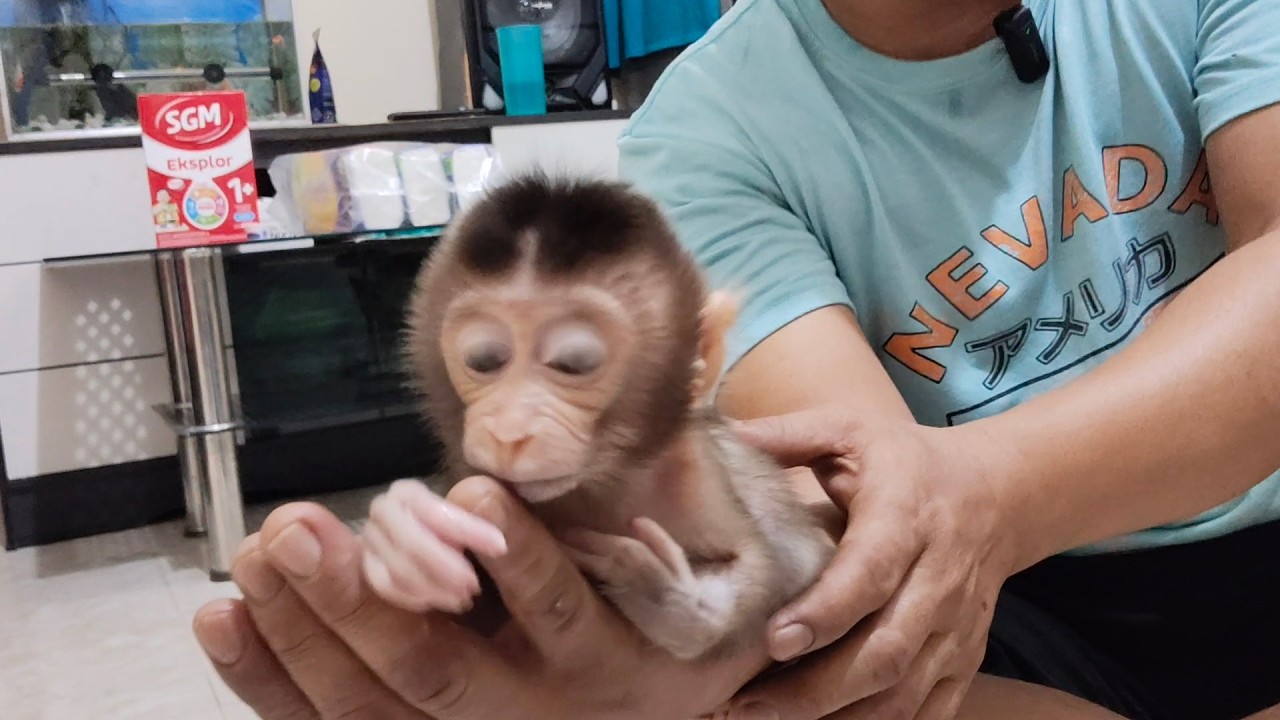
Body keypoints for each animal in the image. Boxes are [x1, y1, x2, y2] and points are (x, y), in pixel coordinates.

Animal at [359, 173, 837, 663]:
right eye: (484, 360)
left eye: (573, 364)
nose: (510, 431)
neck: (599, 480)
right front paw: (406, 538)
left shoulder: (695, 476)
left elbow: (778, 563)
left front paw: (666, 598)